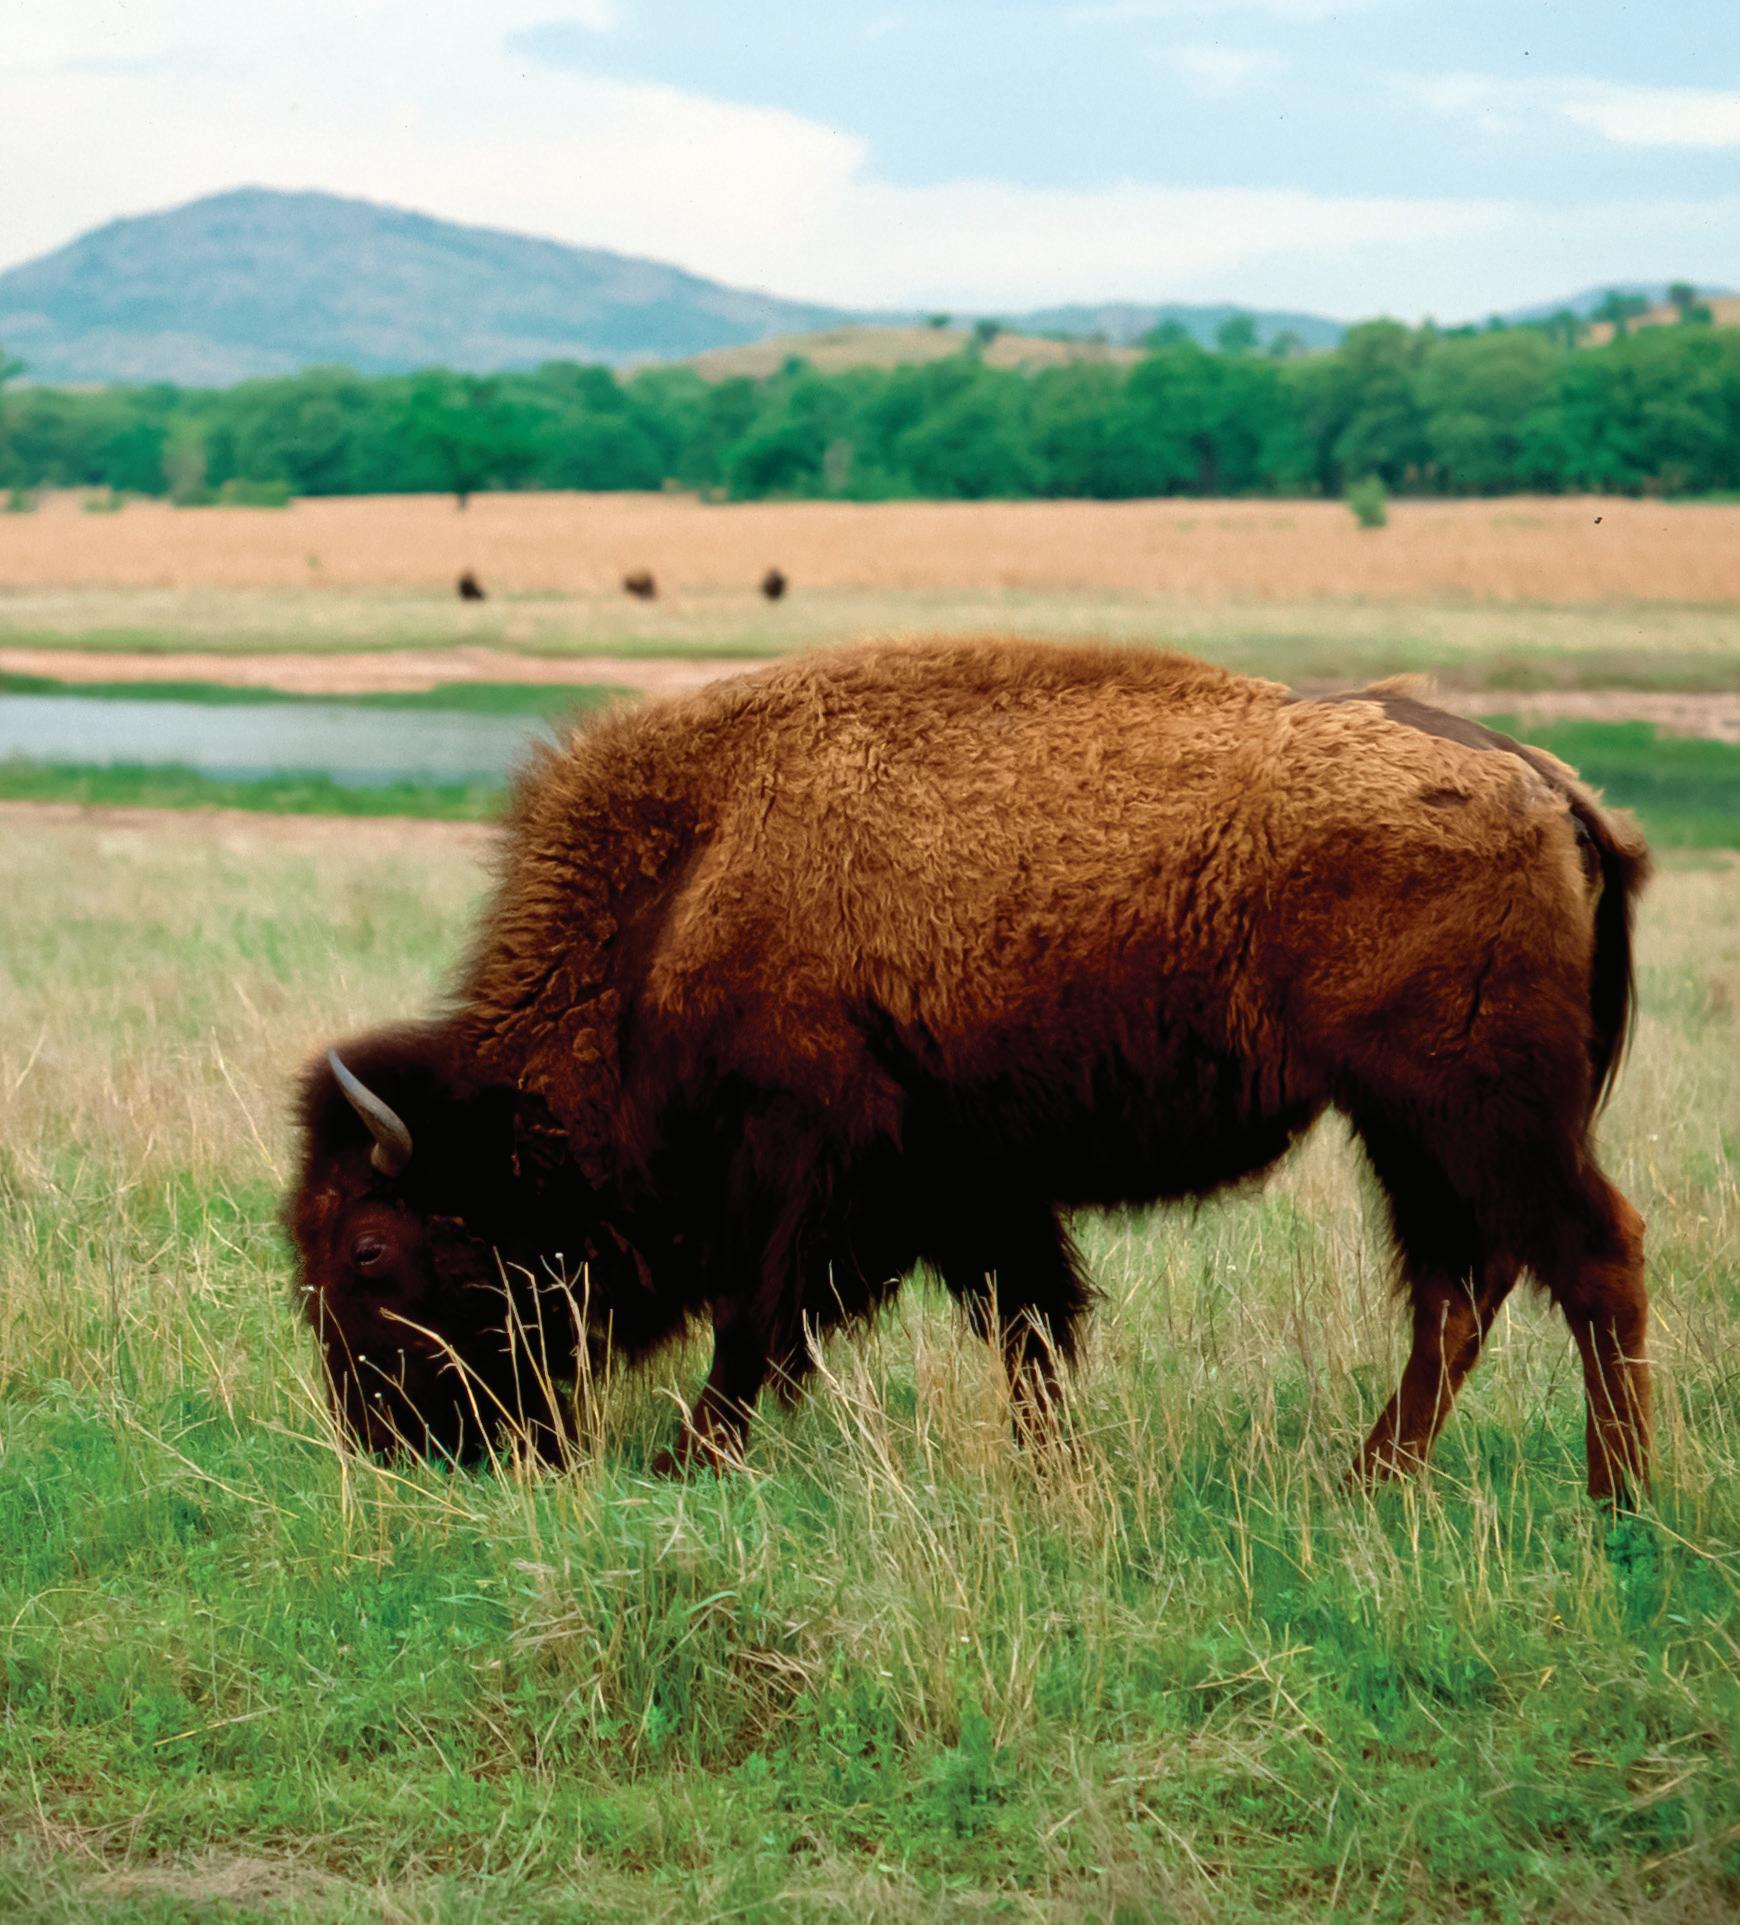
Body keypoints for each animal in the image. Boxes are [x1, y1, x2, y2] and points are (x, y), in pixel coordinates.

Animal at [285, 640, 1652, 1503]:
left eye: (371, 1249)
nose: (383, 1443)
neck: (688, 882)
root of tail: (1549, 786)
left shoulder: (817, 1163)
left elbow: (758, 1319)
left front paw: (689, 1460)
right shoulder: (971, 1184)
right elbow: (1034, 1324)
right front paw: (1052, 1474)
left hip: (1470, 1106)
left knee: (1586, 1257)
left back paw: (1619, 1503)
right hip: (1410, 1124)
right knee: (1459, 1288)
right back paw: (1367, 1482)